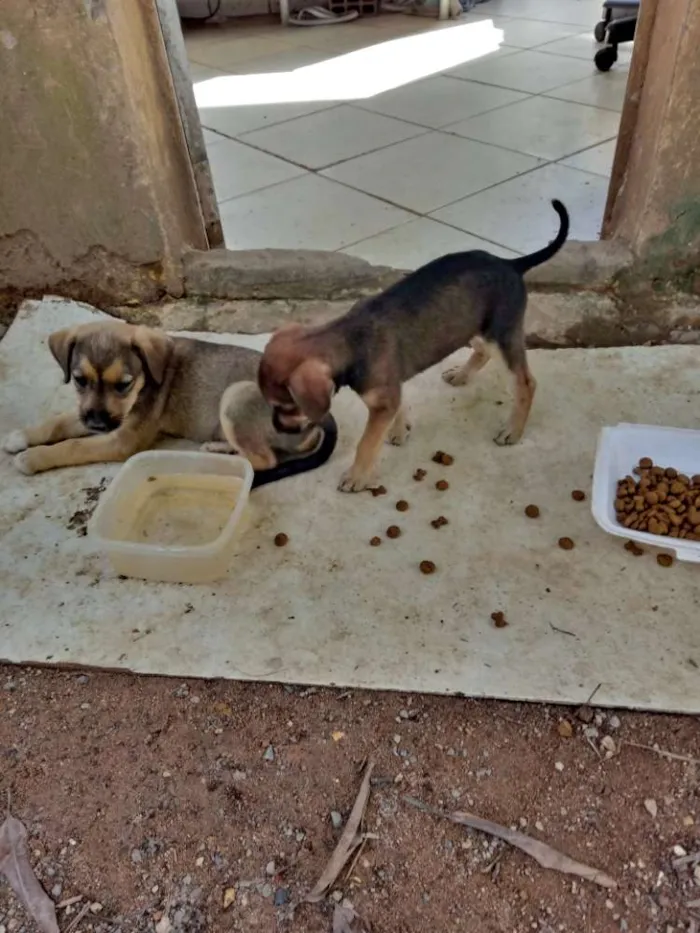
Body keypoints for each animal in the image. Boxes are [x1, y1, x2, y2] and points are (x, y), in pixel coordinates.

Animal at [2, 320, 336, 484]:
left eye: (123, 384)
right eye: (79, 380)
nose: (96, 423)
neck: (144, 381)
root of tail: (321, 415)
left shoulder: (122, 438)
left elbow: (73, 446)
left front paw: (33, 458)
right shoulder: (99, 417)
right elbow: (58, 422)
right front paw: (21, 437)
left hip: (235, 396)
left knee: (265, 460)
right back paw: (220, 446)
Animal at [258, 199, 568, 492]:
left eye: (285, 406)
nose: (274, 427)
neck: (349, 342)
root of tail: (511, 263)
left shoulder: (382, 402)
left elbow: (366, 444)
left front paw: (357, 477)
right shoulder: (391, 391)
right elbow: (398, 408)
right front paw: (400, 430)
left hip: (499, 335)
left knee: (526, 383)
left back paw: (512, 431)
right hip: (469, 327)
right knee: (481, 353)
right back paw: (461, 375)